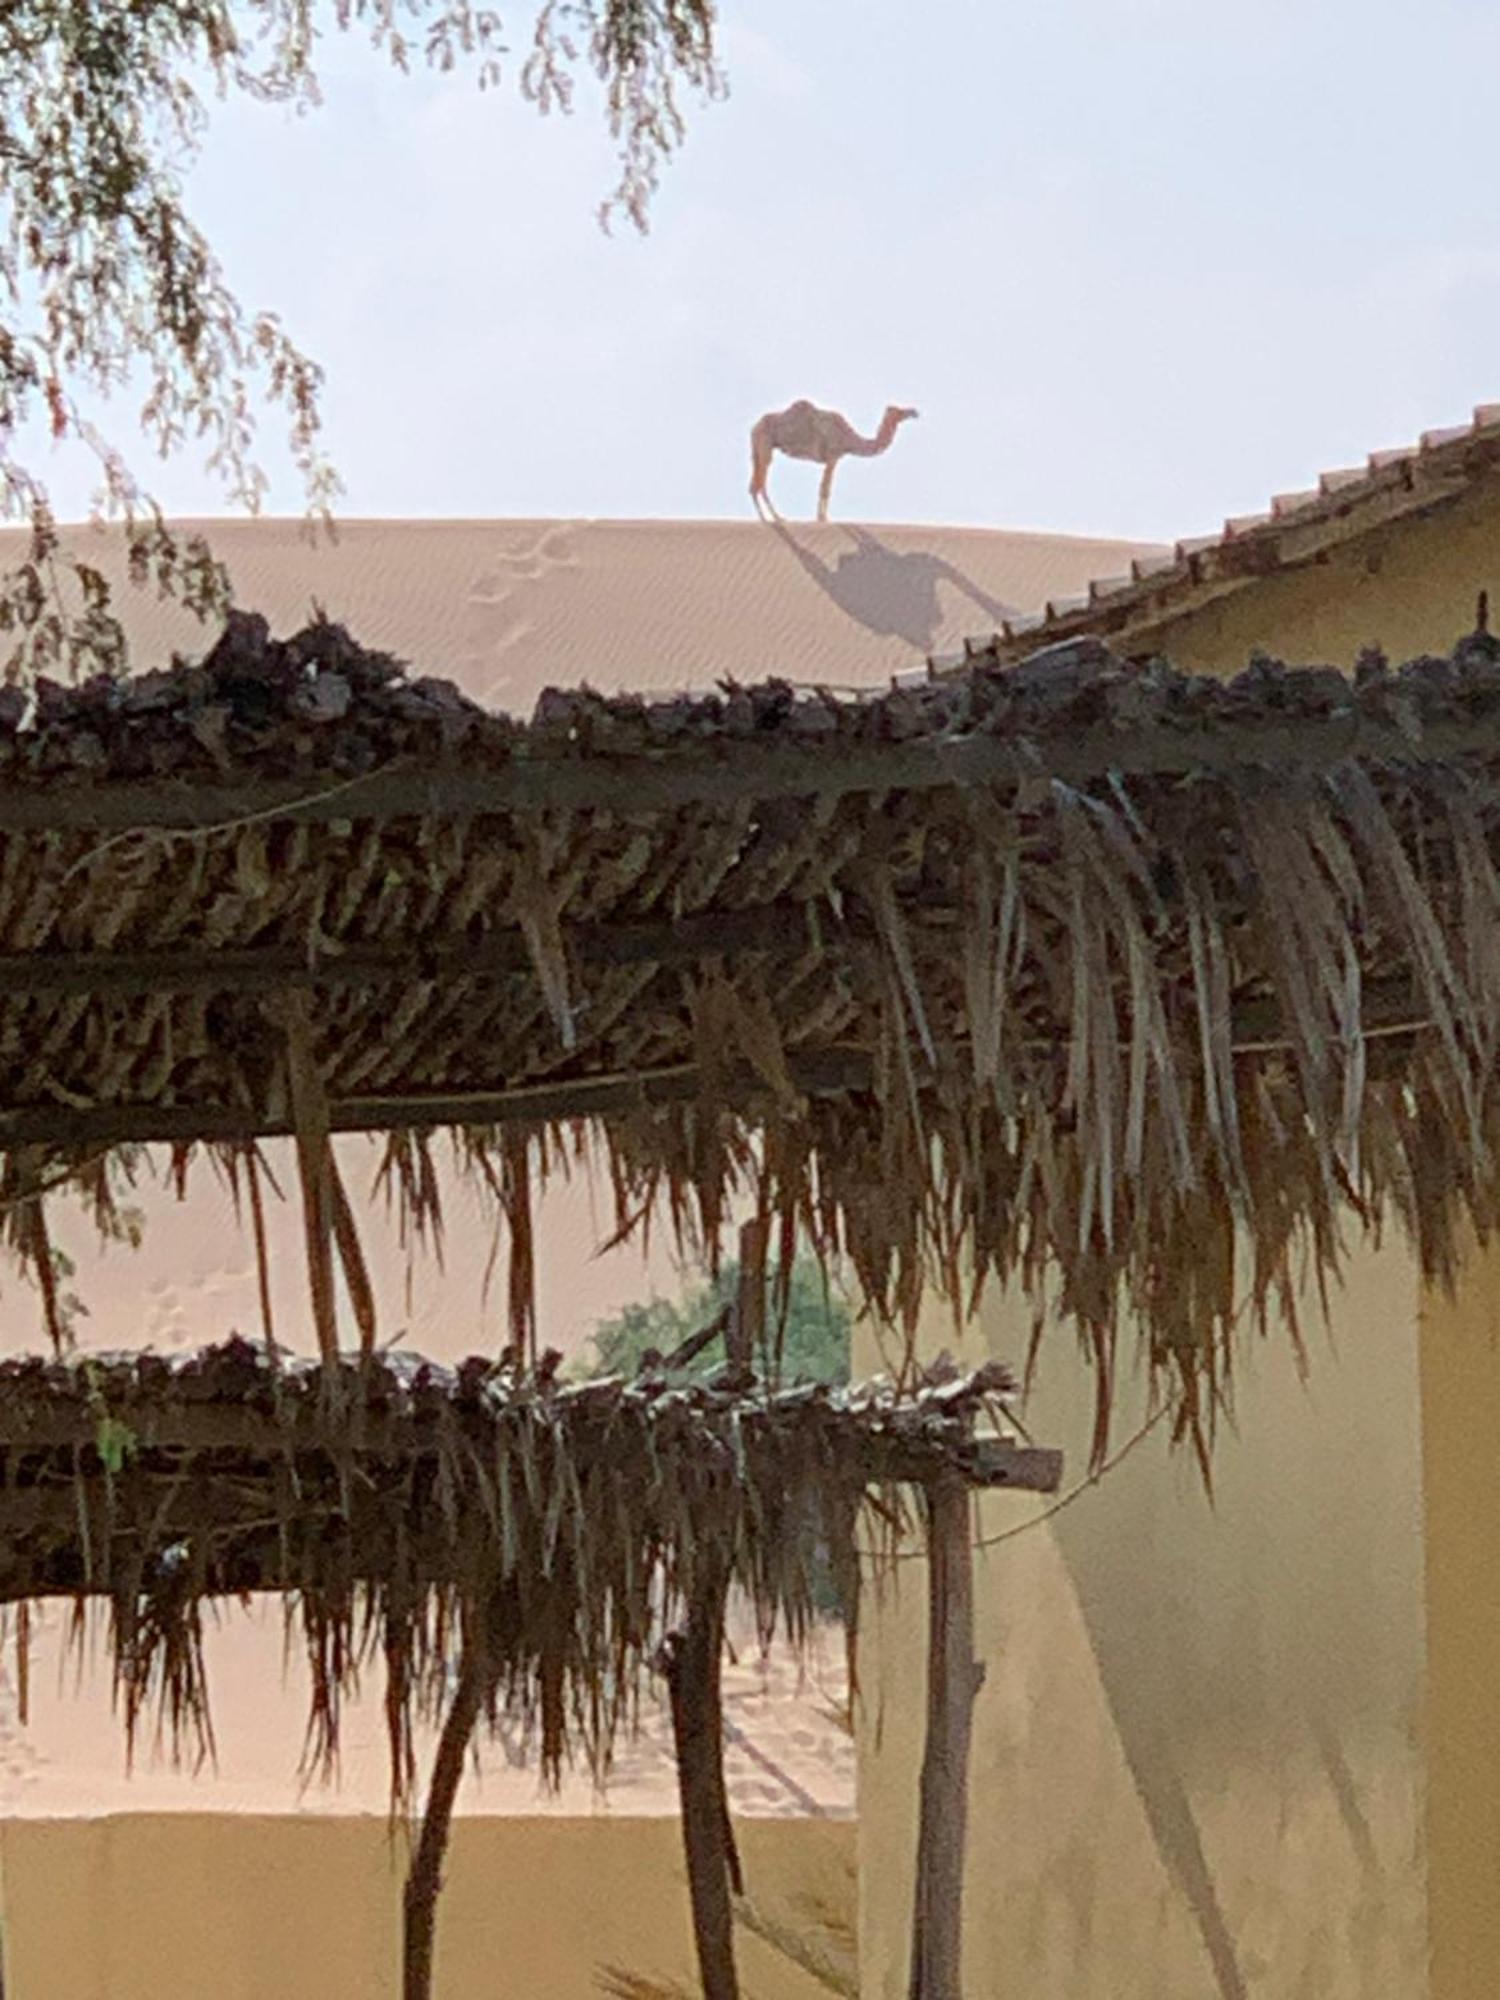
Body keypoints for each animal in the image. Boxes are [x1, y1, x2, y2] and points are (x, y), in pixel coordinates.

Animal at [748, 396, 916, 520]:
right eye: (898, 411)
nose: (914, 412)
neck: (848, 439)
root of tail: (754, 427)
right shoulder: (832, 457)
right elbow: (825, 489)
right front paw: (823, 519)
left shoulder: (832, 459)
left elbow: (824, 488)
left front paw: (821, 518)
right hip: (765, 444)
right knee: (761, 483)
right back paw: (777, 518)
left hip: (757, 449)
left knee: (753, 485)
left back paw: (765, 519)